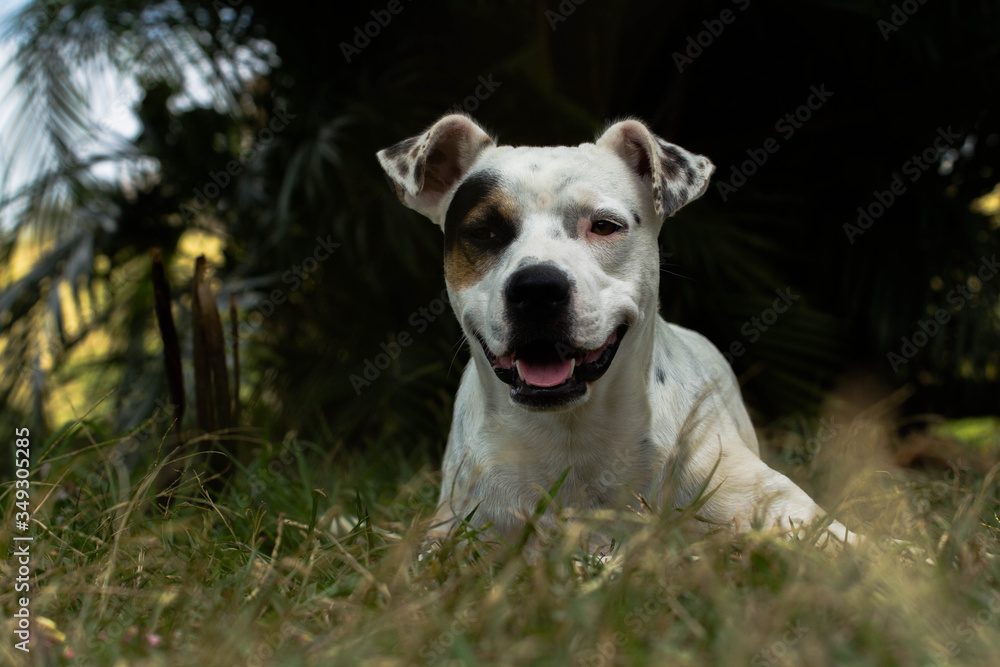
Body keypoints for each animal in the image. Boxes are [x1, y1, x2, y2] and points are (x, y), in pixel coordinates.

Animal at [376, 115, 852, 552]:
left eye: (604, 226)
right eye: (484, 231)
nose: (537, 289)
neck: (572, 434)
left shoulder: (772, 502)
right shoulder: (461, 525)